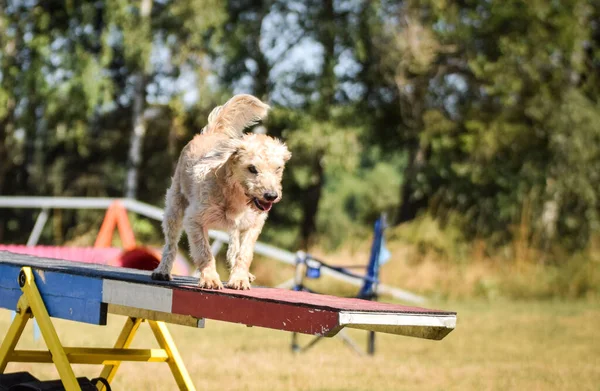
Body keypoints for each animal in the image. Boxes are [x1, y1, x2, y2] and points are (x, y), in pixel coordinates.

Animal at [150, 95, 290, 290]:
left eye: (278, 169)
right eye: (252, 168)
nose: (271, 196)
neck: (234, 197)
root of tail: (211, 132)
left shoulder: (253, 226)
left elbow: (244, 253)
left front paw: (240, 278)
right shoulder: (194, 221)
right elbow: (204, 252)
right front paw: (210, 278)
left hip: (233, 228)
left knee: (233, 247)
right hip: (174, 210)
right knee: (170, 245)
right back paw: (162, 270)